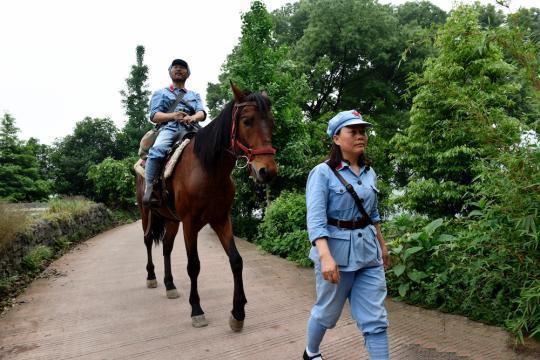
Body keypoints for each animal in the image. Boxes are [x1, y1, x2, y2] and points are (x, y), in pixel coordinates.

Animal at [135, 83, 278, 330]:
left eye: (271, 122)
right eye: (247, 120)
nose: (267, 170)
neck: (208, 170)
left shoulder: (221, 218)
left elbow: (236, 261)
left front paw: (237, 313)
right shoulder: (190, 223)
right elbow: (193, 265)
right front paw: (196, 310)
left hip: (171, 220)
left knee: (166, 247)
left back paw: (170, 285)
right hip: (146, 213)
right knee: (147, 241)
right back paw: (151, 277)